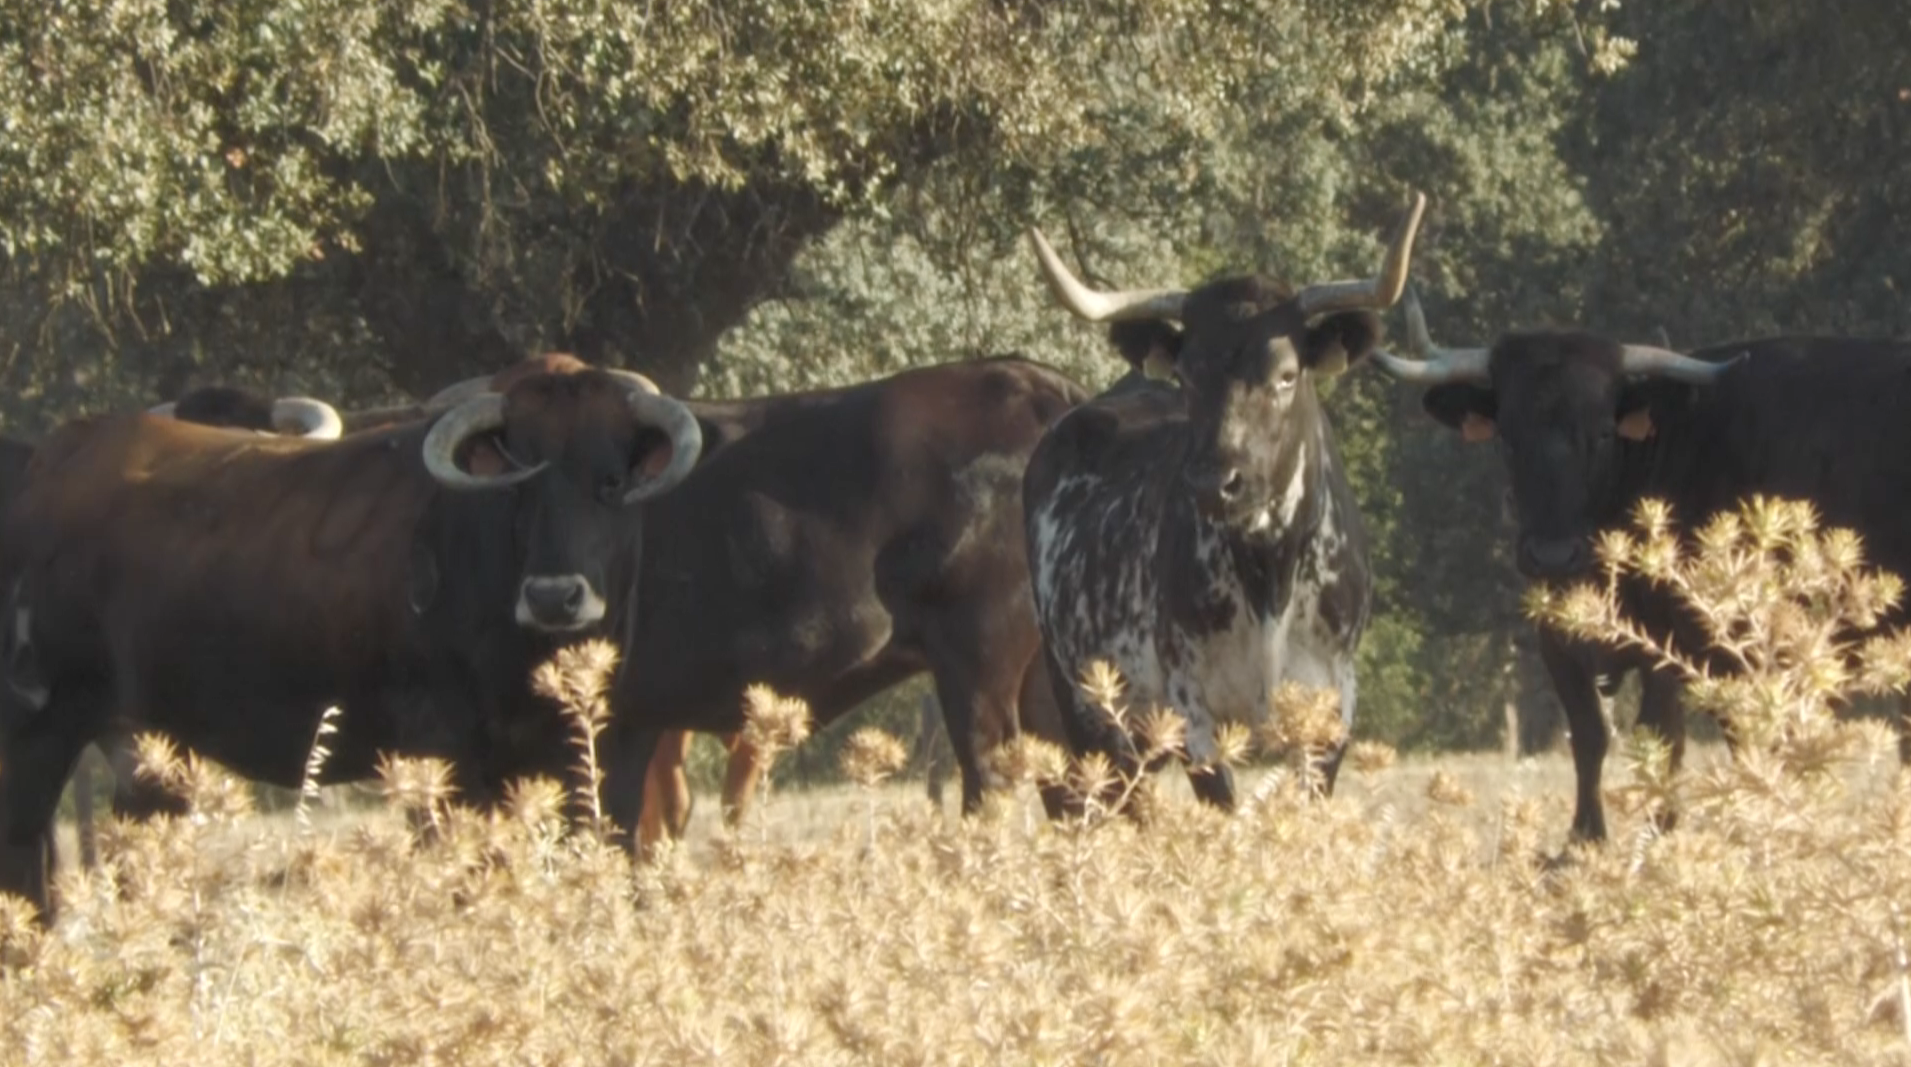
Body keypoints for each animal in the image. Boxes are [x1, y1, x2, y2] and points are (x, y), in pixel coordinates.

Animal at [0, 366, 704, 919]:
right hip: (38, 733)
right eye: (518, 485)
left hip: (144, 750)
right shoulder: (445, 760)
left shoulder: (582, 756)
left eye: (610, 481)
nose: (555, 597)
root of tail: (46, 464)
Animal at [413, 355, 1091, 844]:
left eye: (612, 480)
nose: (555, 598)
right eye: (515, 478)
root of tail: (1031, 384)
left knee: (992, 782)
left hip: (979, 667)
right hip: (1042, 680)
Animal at [1019, 193, 1427, 809]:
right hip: (1088, 711)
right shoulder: (1193, 713)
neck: (1269, 571)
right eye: (1187, 376)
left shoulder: (1331, 708)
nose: (1215, 482)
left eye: (1287, 375)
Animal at [1371, 286, 1911, 841]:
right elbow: (1590, 736)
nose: (1552, 554)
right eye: (1507, 437)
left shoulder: (1699, 648)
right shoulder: (1558, 640)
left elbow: (1676, 738)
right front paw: (1583, 840)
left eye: (1603, 434)